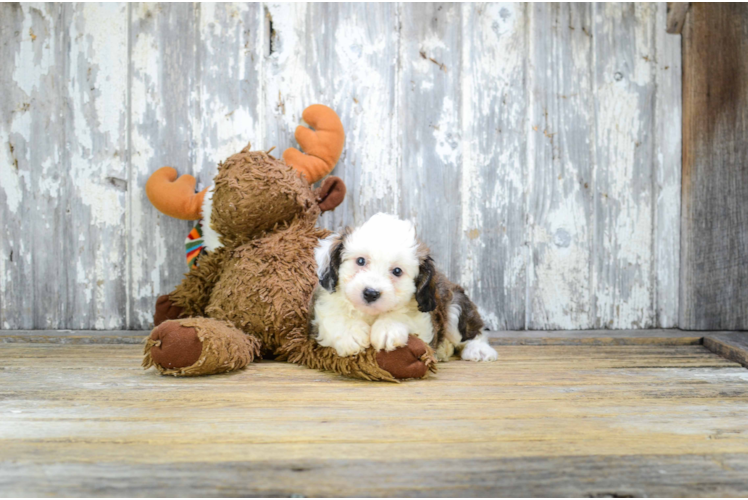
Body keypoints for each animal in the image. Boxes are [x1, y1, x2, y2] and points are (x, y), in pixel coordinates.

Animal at [310, 212, 496, 364]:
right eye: (361, 261)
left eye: (397, 271)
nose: (371, 293)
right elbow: (333, 317)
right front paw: (350, 332)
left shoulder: (424, 322)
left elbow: (404, 315)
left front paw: (388, 328)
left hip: (456, 306)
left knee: (474, 332)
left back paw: (478, 349)